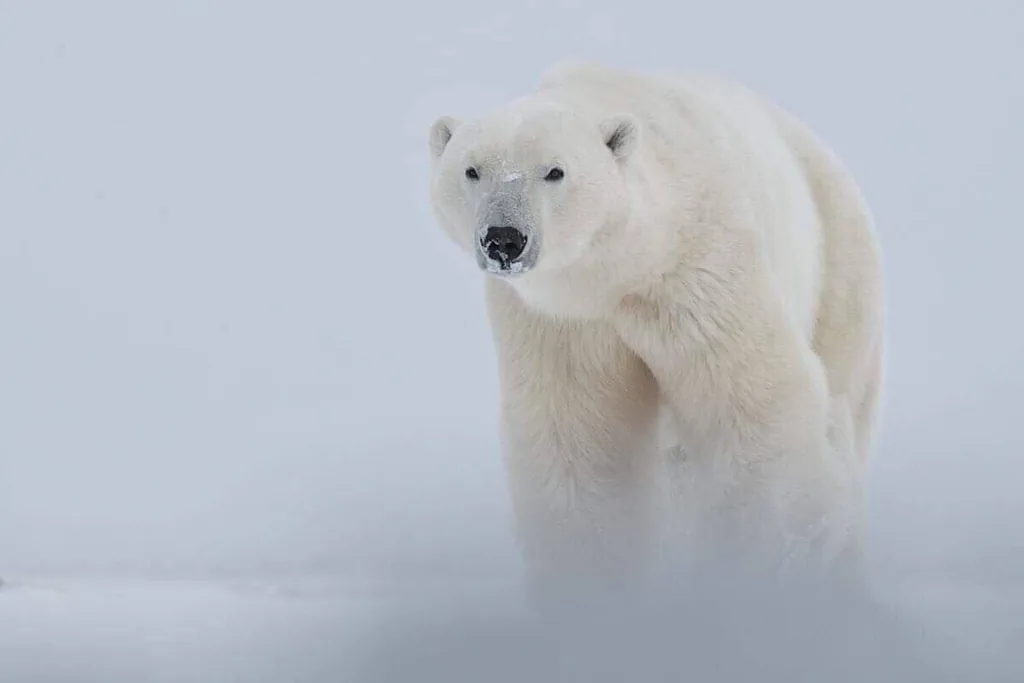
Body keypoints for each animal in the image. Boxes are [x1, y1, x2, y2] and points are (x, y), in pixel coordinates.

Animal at [427, 61, 885, 602]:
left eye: (555, 171)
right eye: (471, 170)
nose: (503, 239)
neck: (619, 275)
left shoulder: (697, 273)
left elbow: (751, 400)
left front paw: (756, 565)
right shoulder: (561, 323)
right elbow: (579, 439)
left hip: (838, 260)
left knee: (840, 408)